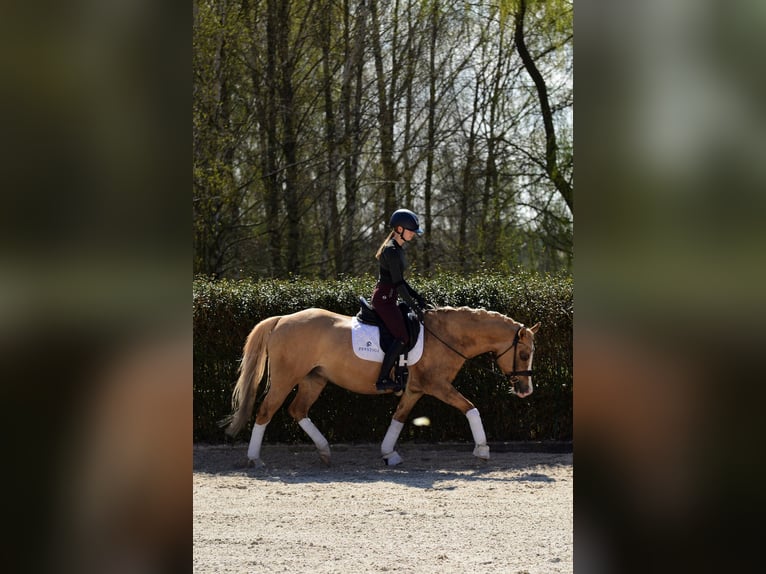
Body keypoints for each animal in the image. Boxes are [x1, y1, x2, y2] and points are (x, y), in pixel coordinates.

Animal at [222, 306, 539, 467]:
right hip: (286, 378)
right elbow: (471, 408)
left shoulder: (415, 389)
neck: (446, 336)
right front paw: (483, 450)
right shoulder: (436, 384)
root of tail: (281, 320)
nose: (526, 391)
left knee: (297, 411)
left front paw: (389, 453)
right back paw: (254, 459)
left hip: (314, 379)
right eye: (524, 354)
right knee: (266, 412)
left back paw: (325, 452)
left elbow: (399, 417)